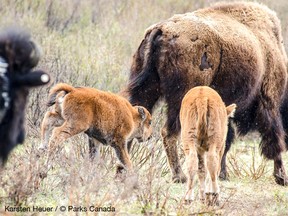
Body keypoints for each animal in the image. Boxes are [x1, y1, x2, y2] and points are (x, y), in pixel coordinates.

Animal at [127, 0, 288, 185]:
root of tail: (161, 30)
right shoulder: (269, 101)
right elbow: (274, 139)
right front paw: (282, 177)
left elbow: (225, 139)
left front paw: (222, 173)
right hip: (180, 99)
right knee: (168, 132)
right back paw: (179, 176)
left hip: (145, 92)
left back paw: (124, 171)